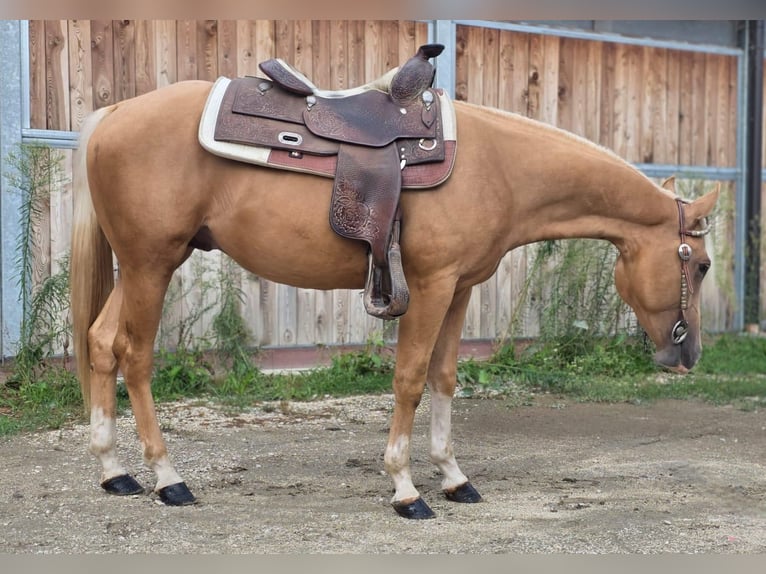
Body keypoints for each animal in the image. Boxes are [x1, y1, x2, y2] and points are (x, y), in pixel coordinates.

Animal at [70, 77, 718, 519]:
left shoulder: (459, 289)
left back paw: (113, 471)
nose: (687, 355)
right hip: (152, 265)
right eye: (703, 265)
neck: (501, 167)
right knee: (134, 355)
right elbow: (408, 378)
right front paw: (405, 488)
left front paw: (454, 477)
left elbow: (444, 378)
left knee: (99, 343)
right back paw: (167, 478)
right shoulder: (431, 286)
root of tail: (115, 114)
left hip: (146, 264)